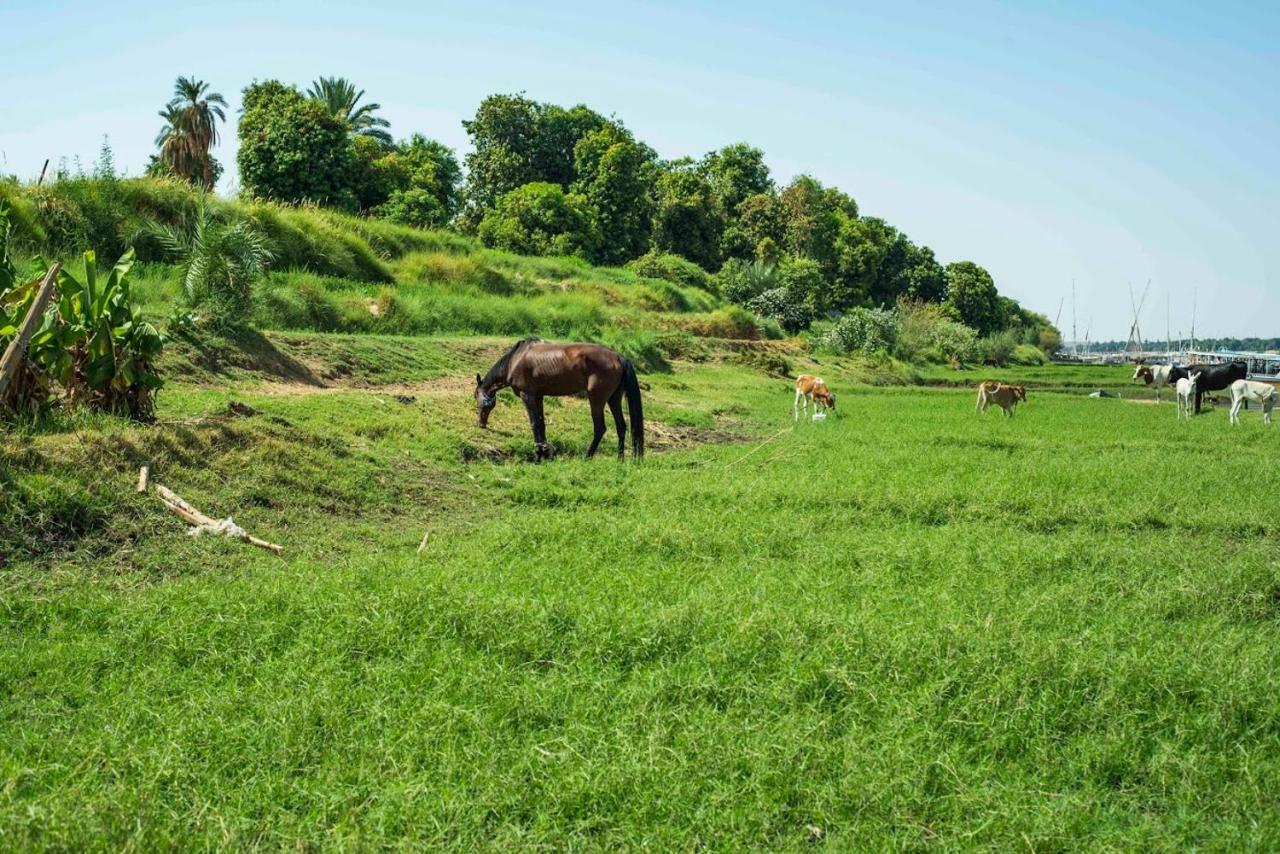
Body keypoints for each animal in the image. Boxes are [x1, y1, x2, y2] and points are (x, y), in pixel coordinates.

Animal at [476, 338, 645, 460]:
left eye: (475, 398)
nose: (480, 423)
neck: (515, 360)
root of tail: (619, 357)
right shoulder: (538, 396)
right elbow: (541, 423)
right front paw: (544, 451)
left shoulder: (527, 396)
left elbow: (534, 423)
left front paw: (538, 453)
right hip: (614, 399)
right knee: (621, 426)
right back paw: (620, 459)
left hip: (596, 400)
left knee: (600, 428)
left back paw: (587, 456)